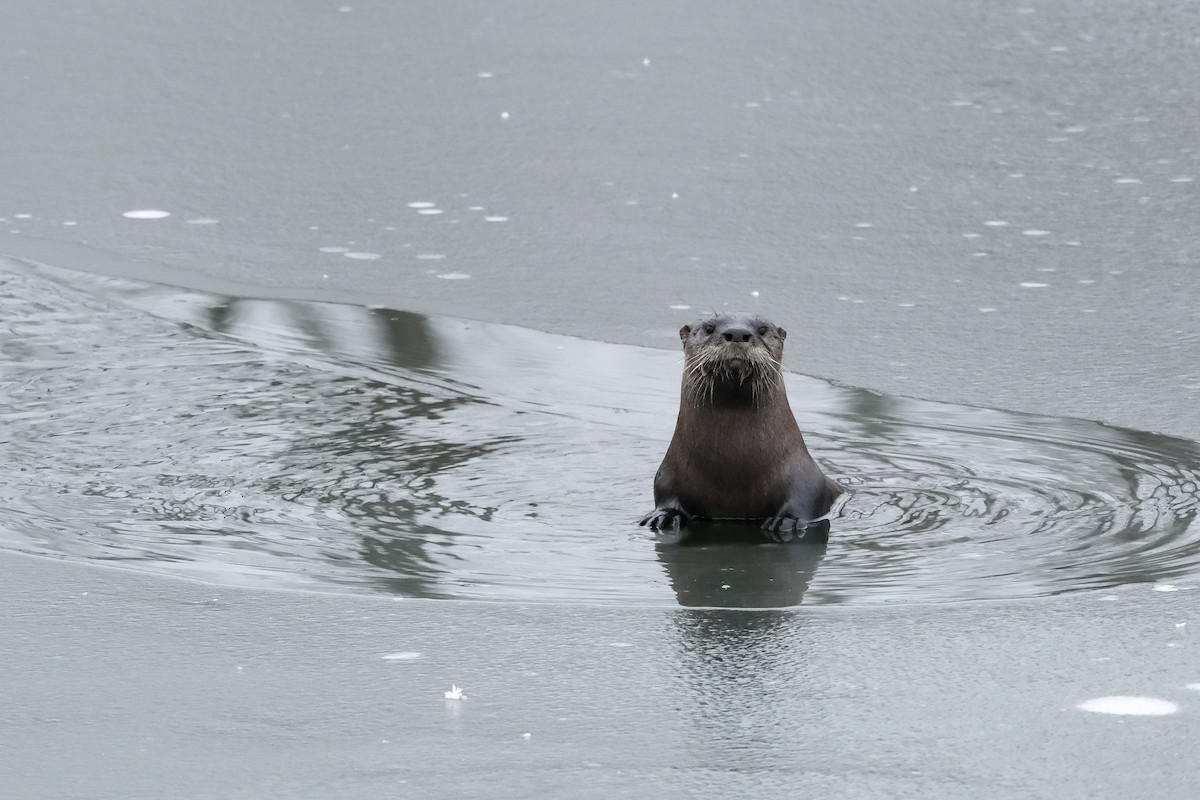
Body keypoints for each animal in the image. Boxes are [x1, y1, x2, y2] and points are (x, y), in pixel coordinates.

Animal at [639, 313, 842, 540]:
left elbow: (803, 503)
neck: (734, 467)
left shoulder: (807, 482)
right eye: (709, 328)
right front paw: (663, 516)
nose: (737, 333)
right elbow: (667, 499)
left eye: (762, 329)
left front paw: (787, 520)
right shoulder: (667, 477)